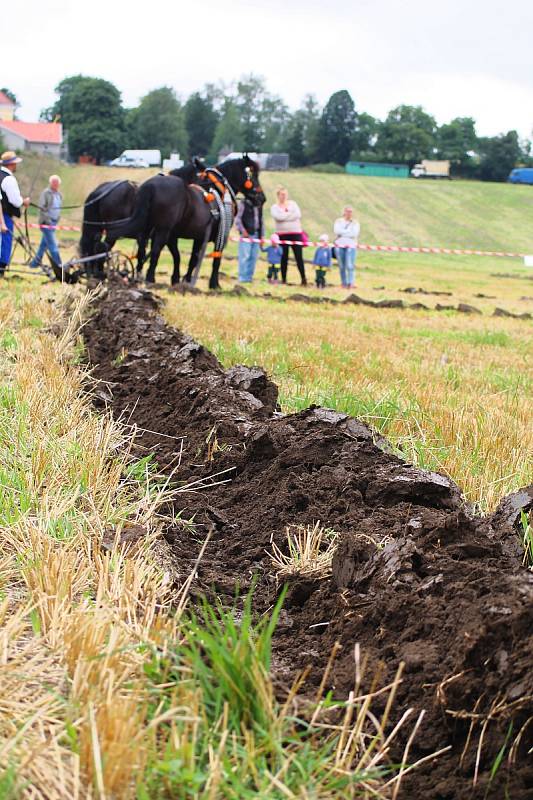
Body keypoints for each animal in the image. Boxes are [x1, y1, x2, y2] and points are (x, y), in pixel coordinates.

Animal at [111, 155, 264, 288]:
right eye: (254, 175)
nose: (262, 198)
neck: (217, 191)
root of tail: (150, 186)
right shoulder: (219, 235)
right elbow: (215, 258)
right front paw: (213, 284)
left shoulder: (192, 236)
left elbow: (186, 257)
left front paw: (180, 280)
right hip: (162, 230)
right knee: (154, 250)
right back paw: (149, 278)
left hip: (146, 227)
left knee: (142, 250)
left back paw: (137, 276)